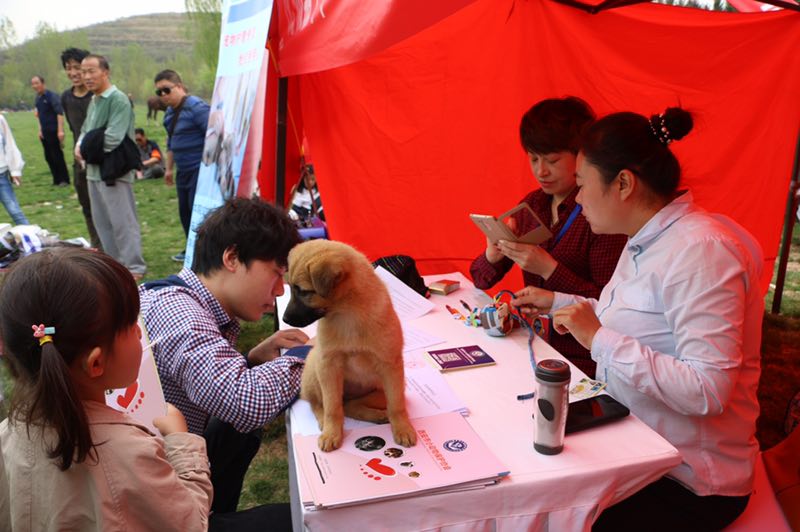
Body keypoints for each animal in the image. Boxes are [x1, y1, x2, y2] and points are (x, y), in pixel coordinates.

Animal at [282, 239, 418, 450]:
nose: (284, 319)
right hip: (314, 367)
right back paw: (324, 422)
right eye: (289, 288)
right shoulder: (328, 365)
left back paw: (377, 415)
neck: (347, 312)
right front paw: (331, 432)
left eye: (304, 292)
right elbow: (331, 407)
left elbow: (397, 405)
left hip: (384, 387)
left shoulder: (390, 365)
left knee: (352, 405)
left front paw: (402, 428)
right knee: (319, 403)